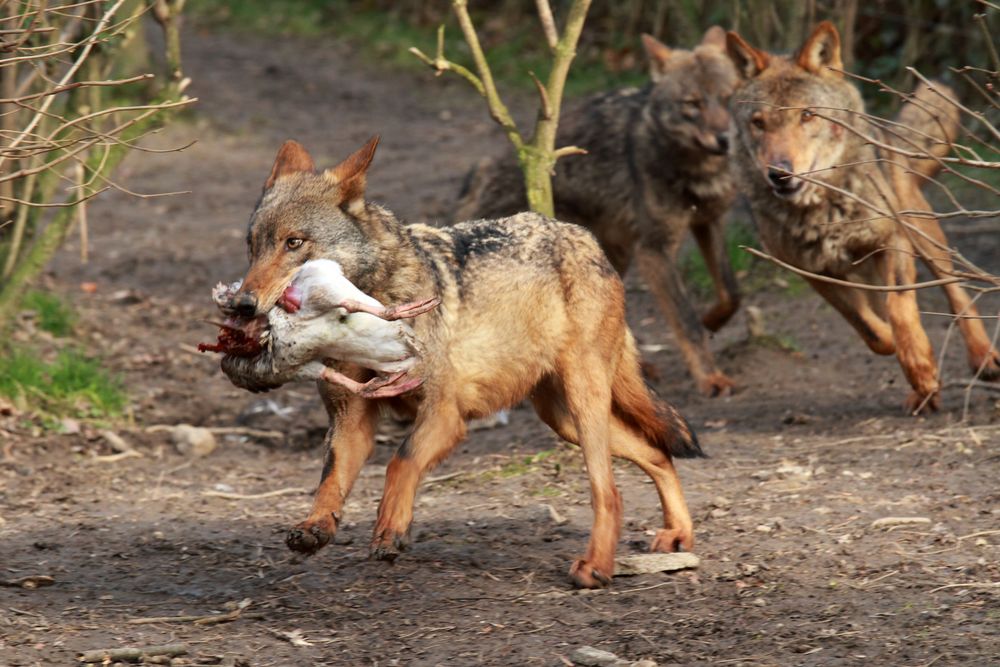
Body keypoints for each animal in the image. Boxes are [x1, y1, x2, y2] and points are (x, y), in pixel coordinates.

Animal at [221, 136, 704, 588]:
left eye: (294, 243)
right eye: (252, 246)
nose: (243, 304)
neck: (369, 301)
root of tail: (585, 238)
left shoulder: (445, 415)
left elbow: (401, 461)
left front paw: (390, 528)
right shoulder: (351, 422)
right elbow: (331, 479)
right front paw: (316, 526)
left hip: (583, 411)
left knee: (611, 492)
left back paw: (596, 567)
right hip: (563, 419)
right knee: (658, 453)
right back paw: (677, 534)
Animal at [454, 28, 744, 400]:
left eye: (727, 98)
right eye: (692, 104)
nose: (724, 139)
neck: (698, 170)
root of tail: (481, 171)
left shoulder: (709, 222)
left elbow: (731, 292)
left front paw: (712, 320)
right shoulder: (654, 250)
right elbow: (686, 321)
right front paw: (711, 378)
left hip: (607, 258)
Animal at [728, 20, 1000, 414]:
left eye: (807, 115)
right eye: (758, 123)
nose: (778, 174)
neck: (823, 211)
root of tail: (887, 133)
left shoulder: (892, 240)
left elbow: (900, 307)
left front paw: (920, 366)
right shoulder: (813, 272)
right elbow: (871, 330)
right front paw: (916, 369)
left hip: (922, 235)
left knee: (957, 293)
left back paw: (984, 359)